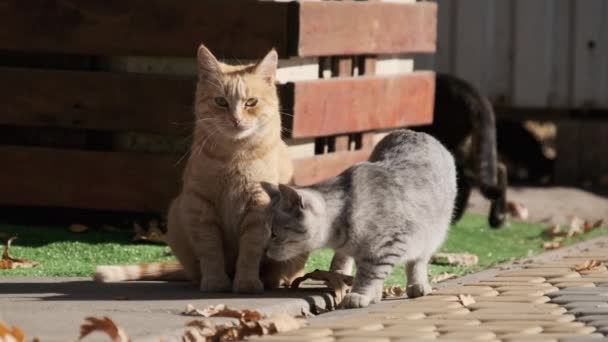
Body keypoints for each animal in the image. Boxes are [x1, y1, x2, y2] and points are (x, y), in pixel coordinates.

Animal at [95, 44, 308, 292]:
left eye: (251, 102)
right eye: (221, 102)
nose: (235, 119)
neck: (233, 156)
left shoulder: (258, 207)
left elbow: (250, 252)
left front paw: (246, 283)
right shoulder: (201, 207)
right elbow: (210, 252)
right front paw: (215, 282)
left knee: (285, 271)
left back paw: (277, 280)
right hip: (178, 213)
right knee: (195, 271)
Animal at [262, 130, 456, 308]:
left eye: (274, 234)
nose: (265, 251)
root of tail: (418, 132)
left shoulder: (386, 246)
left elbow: (369, 274)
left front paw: (360, 295)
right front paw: (373, 294)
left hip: (431, 234)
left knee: (418, 261)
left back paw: (418, 285)